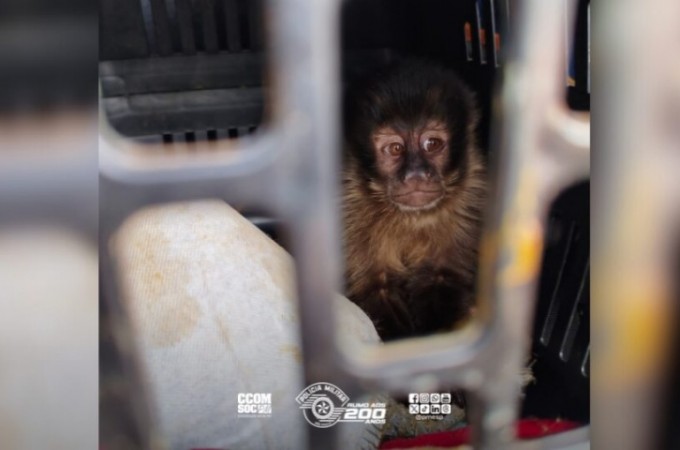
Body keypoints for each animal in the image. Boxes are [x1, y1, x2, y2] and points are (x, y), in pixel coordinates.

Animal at [342, 60, 487, 341]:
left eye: (432, 144)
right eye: (395, 149)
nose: (416, 174)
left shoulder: (470, 197)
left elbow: (441, 277)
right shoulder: (349, 206)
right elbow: (375, 289)